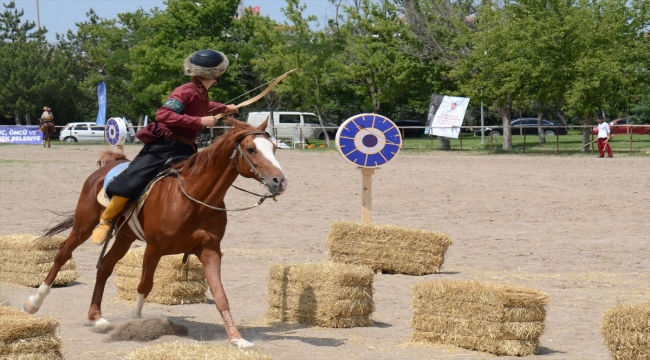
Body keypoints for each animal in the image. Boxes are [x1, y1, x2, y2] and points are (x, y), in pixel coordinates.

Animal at [24, 118, 286, 348]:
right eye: (251, 149)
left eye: (274, 147)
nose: (279, 181)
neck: (193, 199)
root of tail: (108, 165)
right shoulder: (154, 249)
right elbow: (144, 285)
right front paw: (137, 321)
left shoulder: (210, 250)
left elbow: (220, 295)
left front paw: (236, 339)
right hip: (83, 226)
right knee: (62, 253)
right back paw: (34, 303)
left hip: (124, 237)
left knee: (105, 267)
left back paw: (97, 317)